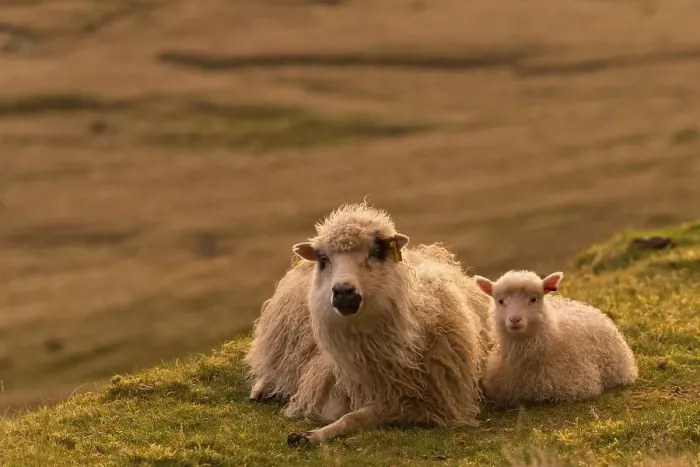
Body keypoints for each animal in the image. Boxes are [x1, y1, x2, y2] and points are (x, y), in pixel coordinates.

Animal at [282, 202, 493, 447]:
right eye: (323, 260)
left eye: (375, 252)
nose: (343, 292)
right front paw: (308, 435)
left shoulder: (420, 404)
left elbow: (354, 417)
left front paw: (312, 435)